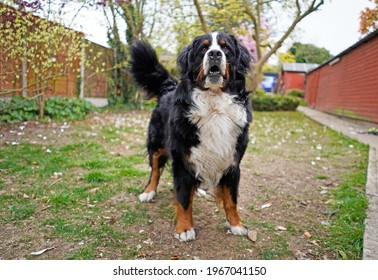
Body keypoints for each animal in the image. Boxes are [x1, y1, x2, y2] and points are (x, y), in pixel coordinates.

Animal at [131, 30, 252, 241]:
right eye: (203, 48)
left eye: (226, 48)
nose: (214, 54)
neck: (214, 105)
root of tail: (169, 87)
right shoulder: (182, 161)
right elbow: (184, 199)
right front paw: (185, 228)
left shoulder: (232, 162)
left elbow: (231, 200)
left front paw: (236, 224)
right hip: (156, 144)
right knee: (155, 171)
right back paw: (148, 192)